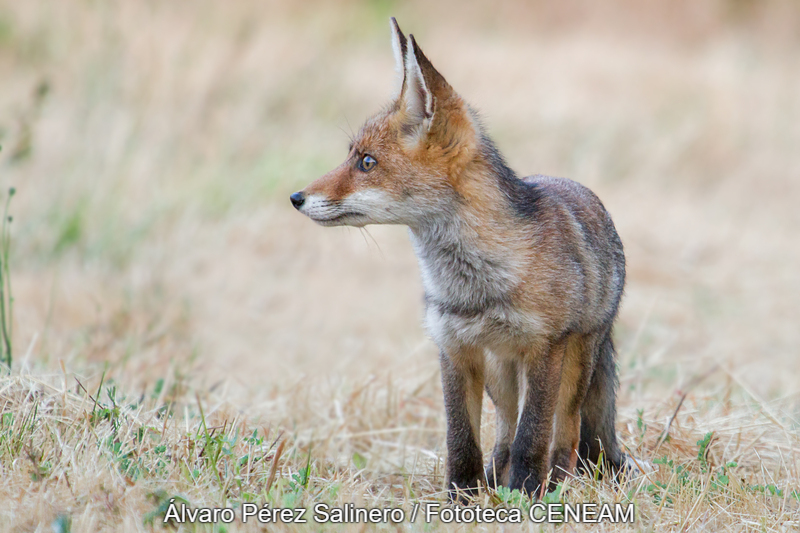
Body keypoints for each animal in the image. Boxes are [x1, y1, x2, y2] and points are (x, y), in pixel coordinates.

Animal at [290, 16, 628, 498]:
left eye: (366, 162)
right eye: (352, 156)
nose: (296, 198)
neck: (474, 286)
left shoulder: (545, 348)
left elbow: (533, 437)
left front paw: (526, 496)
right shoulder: (453, 346)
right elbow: (461, 438)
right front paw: (463, 497)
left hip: (576, 360)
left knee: (566, 432)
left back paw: (555, 486)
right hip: (501, 373)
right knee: (504, 431)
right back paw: (497, 479)